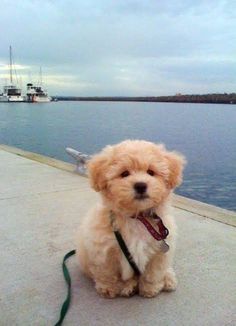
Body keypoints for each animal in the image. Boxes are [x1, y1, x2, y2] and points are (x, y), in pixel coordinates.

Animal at [76, 140, 185, 298]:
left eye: (151, 172)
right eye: (124, 173)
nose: (140, 185)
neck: (137, 217)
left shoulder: (159, 252)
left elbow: (153, 273)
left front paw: (150, 289)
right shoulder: (104, 251)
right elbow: (108, 273)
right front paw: (109, 288)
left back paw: (168, 279)